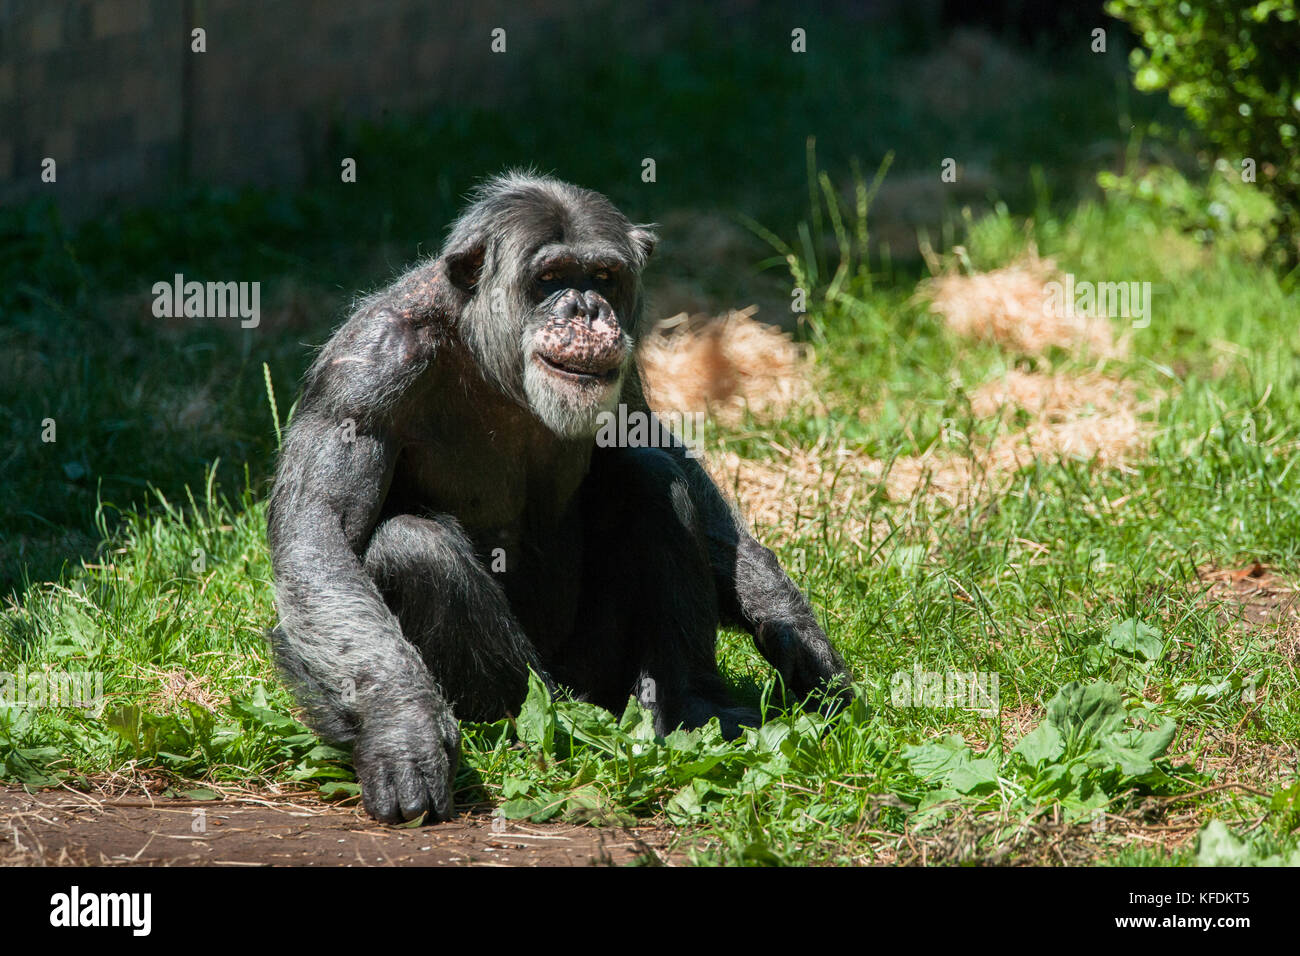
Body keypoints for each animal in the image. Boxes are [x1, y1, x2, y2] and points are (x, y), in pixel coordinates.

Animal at [265, 171, 852, 822]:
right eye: (550, 278)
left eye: (603, 277)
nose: (586, 309)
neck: (490, 353)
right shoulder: (365, 368)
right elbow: (321, 536)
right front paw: (401, 728)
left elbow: (661, 449)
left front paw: (785, 617)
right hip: (537, 686)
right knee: (412, 546)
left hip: (603, 671)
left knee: (654, 481)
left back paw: (693, 706)